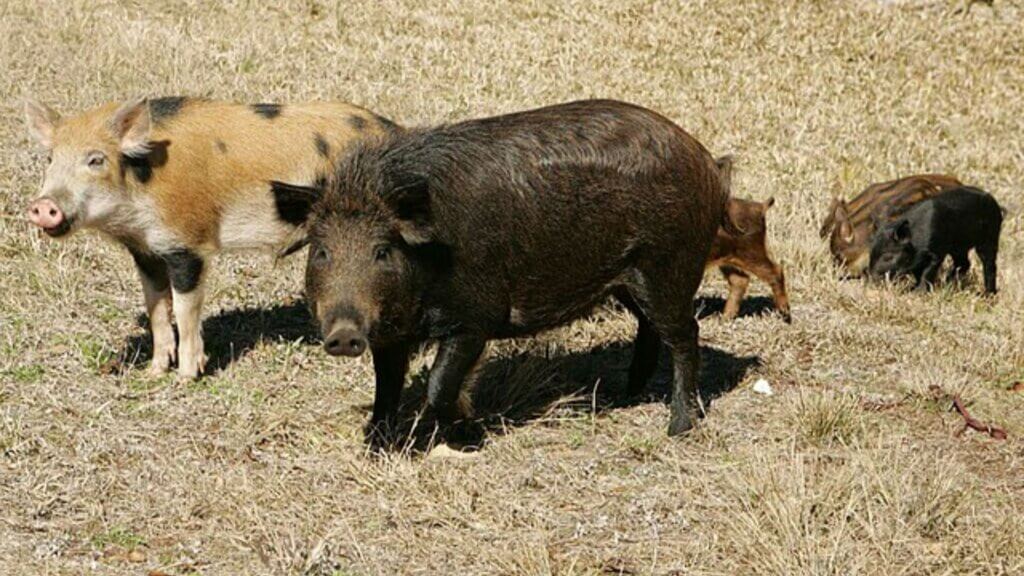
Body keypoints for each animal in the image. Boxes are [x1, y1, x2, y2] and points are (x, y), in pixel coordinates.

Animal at [24, 97, 397, 378]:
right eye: (50, 158)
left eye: (96, 159)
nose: (43, 205)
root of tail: (395, 131)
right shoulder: (145, 251)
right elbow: (156, 307)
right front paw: (154, 373)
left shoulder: (188, 244)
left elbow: (185, 308)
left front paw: (187, 377)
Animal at [299, 99, 728, 438]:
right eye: (321, 251)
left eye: (383, 250)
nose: (343, 335)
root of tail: (707, 162)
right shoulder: (391, 333)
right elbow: (385, 386)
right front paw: (377, 442)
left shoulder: (478, 316)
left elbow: (439, 383)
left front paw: (467, 428)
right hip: (629, 280)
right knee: (650, 328)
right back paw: (625, 394)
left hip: (669, 266)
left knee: (686, 334)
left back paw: (678, 428)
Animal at [704, 156, 790, 322]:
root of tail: (761, 207)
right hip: (730, 258)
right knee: (740, 280)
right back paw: (725, 318)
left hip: (752, 252)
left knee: (776, 270)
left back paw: (786, 314)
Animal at [868, 186, 1003, 294]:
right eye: (871, 253)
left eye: (887, 257)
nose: (872, 277)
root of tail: (995, 203)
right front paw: (912, 289)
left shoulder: (935, 253)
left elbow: (927, 273)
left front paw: (919, 292)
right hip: (958, 247)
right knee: (964, 263)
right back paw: (947, 283)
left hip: (990, 237)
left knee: (989, 264)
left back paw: (986, 294)